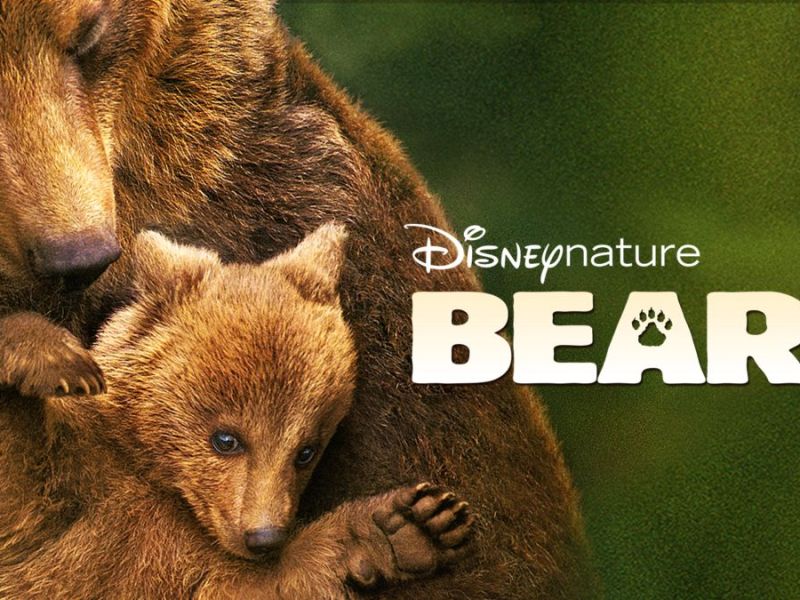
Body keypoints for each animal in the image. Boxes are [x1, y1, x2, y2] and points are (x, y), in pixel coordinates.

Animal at [0, 225, 476, 598]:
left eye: (306, 451)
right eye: (226, 439)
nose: (264, 536)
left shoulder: (187, 558)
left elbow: (256, 584)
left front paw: (413, 524)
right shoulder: (69, 496)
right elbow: (20, 476)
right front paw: (54, 358)